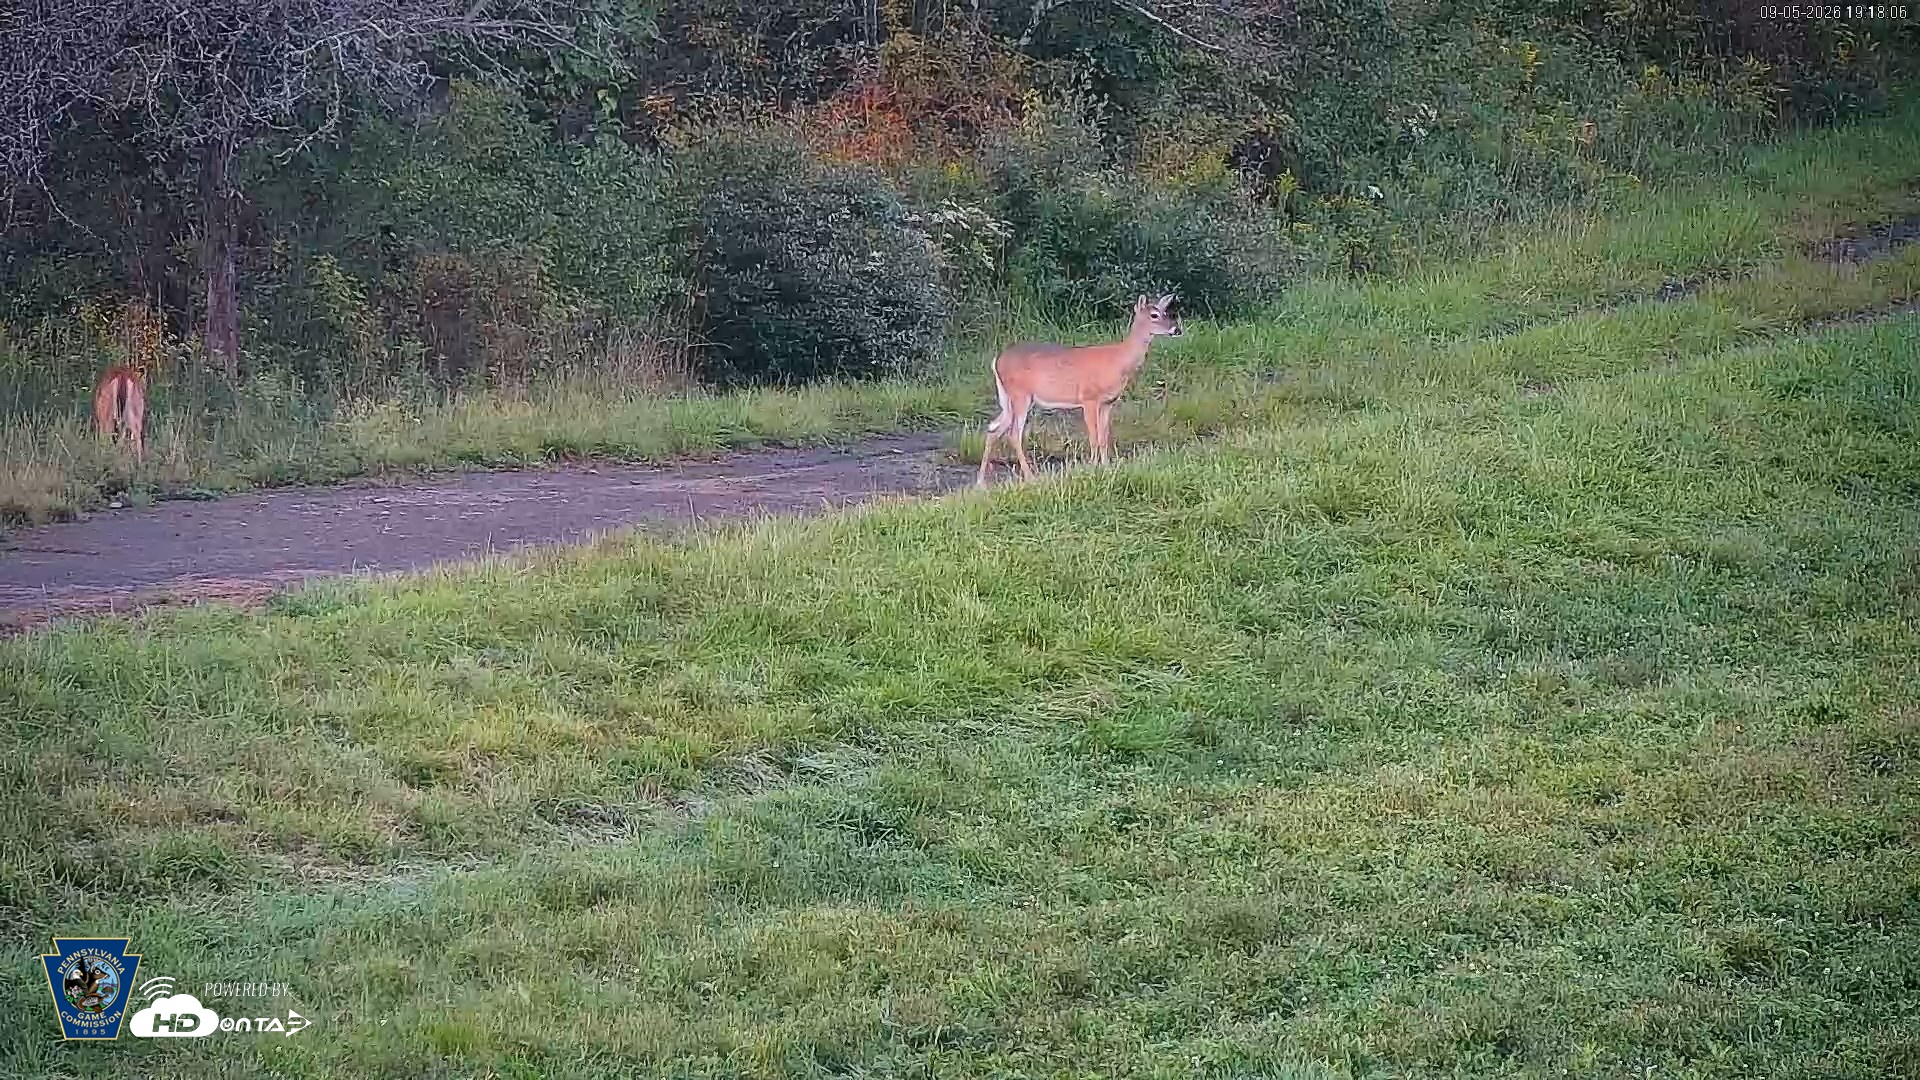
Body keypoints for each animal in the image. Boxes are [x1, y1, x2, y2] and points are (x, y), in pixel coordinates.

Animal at [975, 293, 1182, 487]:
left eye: (1166, 312)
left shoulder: (1108, 402)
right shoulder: (1089, 398)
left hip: (1009, 399)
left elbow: (1103, 438)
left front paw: (1107, 469)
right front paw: (1092, 470)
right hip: (1020, 395)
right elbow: (1093, 437)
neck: (1118, 361)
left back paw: (981, 483)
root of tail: (997, 361)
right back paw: (1031, 478)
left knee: (993, 428)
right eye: (1154, 315)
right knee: (1013, 434)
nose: (1177, 329)